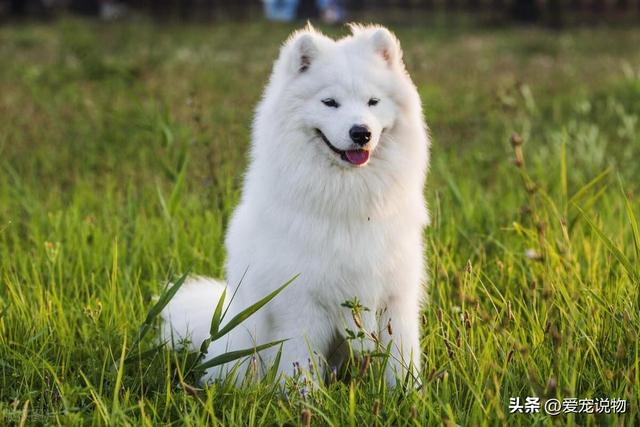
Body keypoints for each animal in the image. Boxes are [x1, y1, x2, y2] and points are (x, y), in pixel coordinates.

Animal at [160, 21, 430, 386]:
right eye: (330, 102)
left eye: (373, 102)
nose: (361, 132)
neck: (348, 201)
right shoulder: (301, 304)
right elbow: (300, 365)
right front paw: (307, 398)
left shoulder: (395, 297)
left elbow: (401, 360)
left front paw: (406, 395)